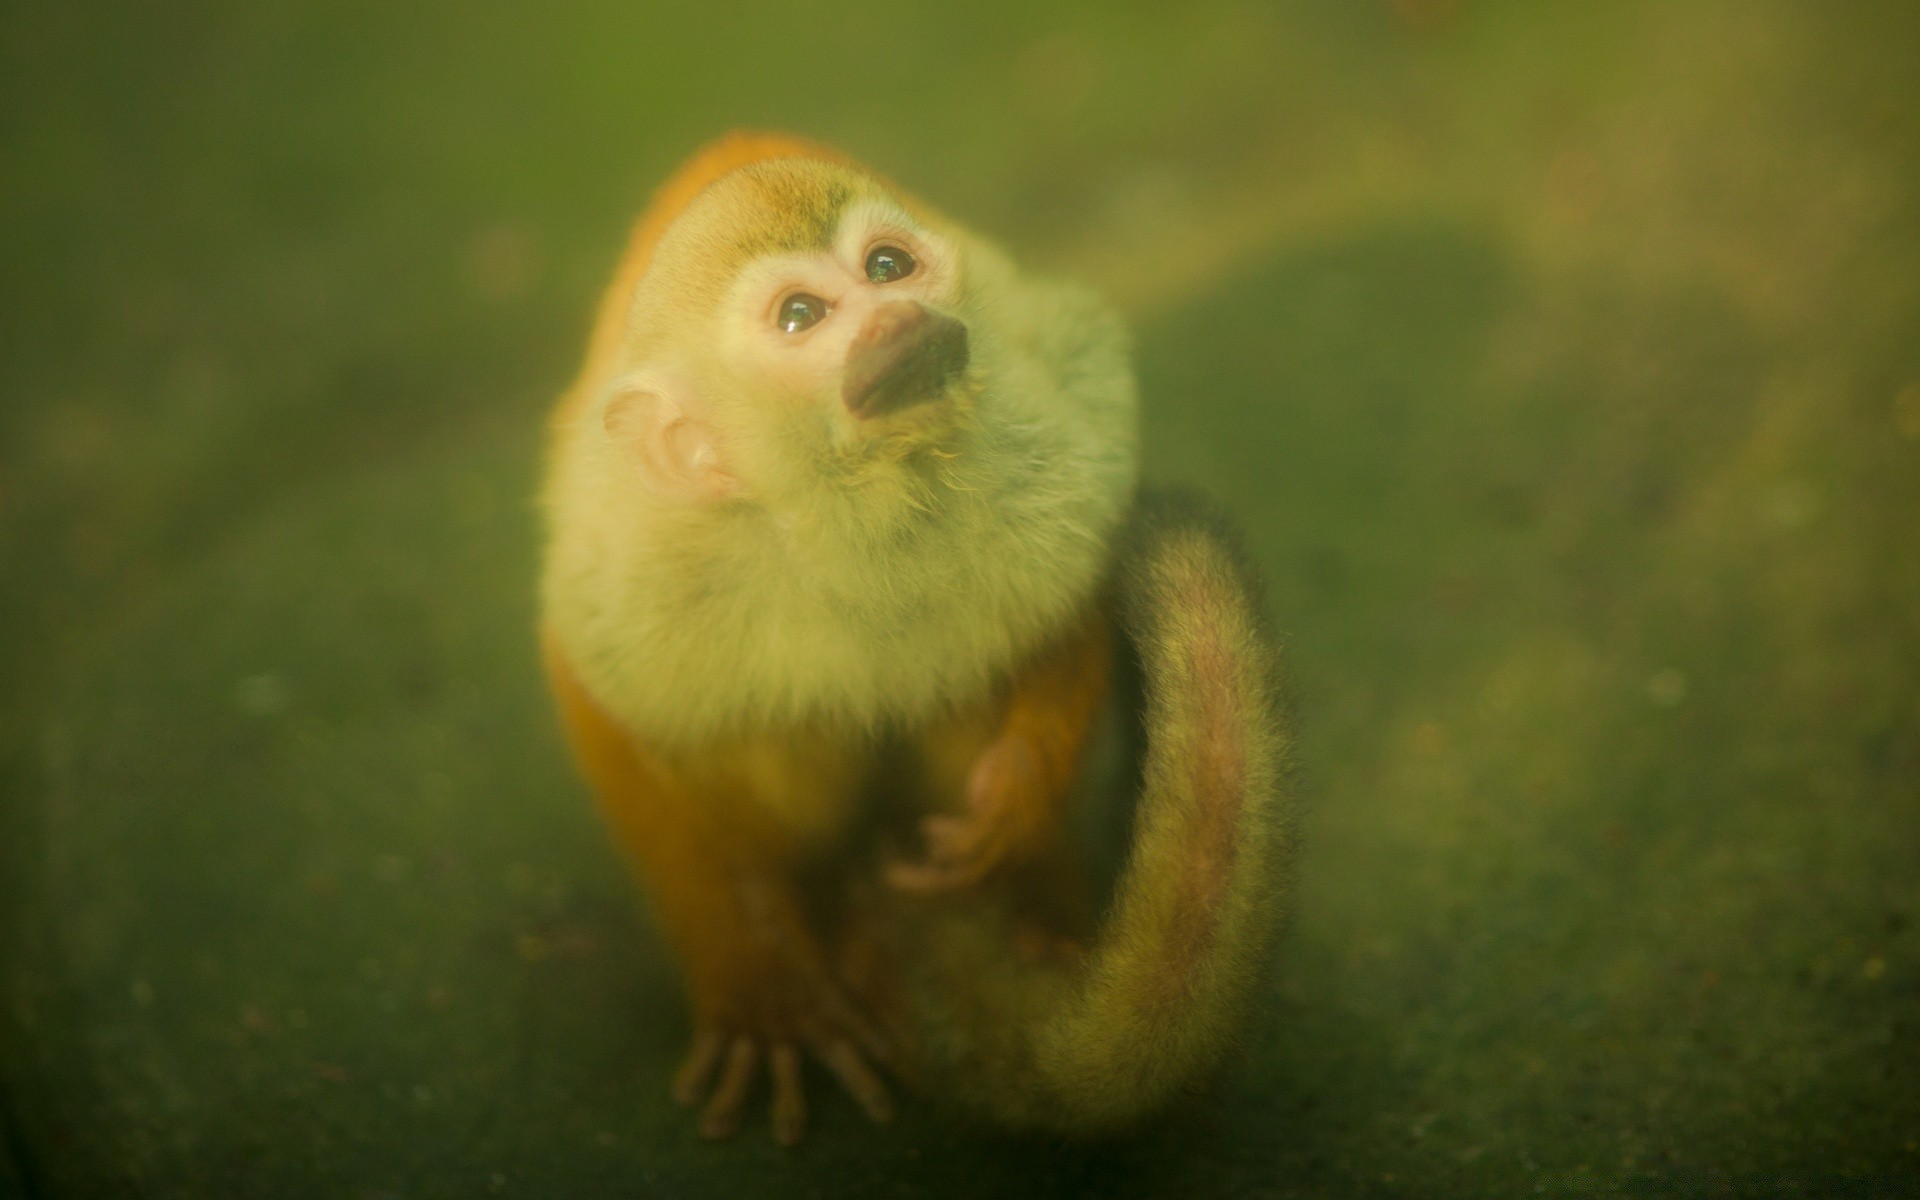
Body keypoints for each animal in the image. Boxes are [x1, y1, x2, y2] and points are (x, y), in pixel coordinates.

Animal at [541, 130, 1290, 1144]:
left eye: (887, 267)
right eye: (802, 317)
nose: (901, 313)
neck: (856, 499)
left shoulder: (1035, 422)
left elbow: (1075, 571)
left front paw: (1018, 801)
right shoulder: (647, 562)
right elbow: (606, 700)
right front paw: (759, 981)